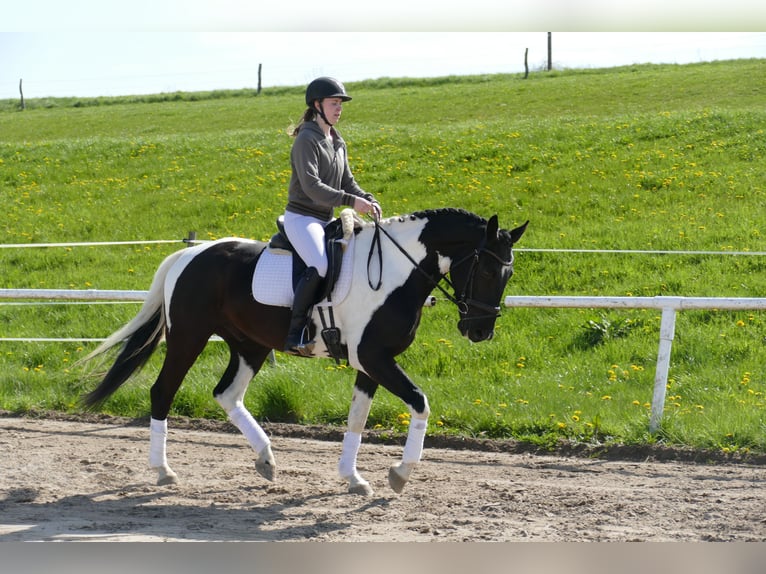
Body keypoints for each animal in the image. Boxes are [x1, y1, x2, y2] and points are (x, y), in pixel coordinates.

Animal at [82, 209, 528, 498]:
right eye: (489, 270)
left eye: (509, 273)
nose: (481, 330)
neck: (396, 274)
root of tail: (191, 254)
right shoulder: (376, 359)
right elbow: (419, 402)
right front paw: (400, 473)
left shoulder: (370, 362)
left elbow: (357, 418)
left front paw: (353, 478)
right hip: (189, 337)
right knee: (162, 393)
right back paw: (163, 472)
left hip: (250, 345)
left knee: (227, 394)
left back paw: (265, 459)